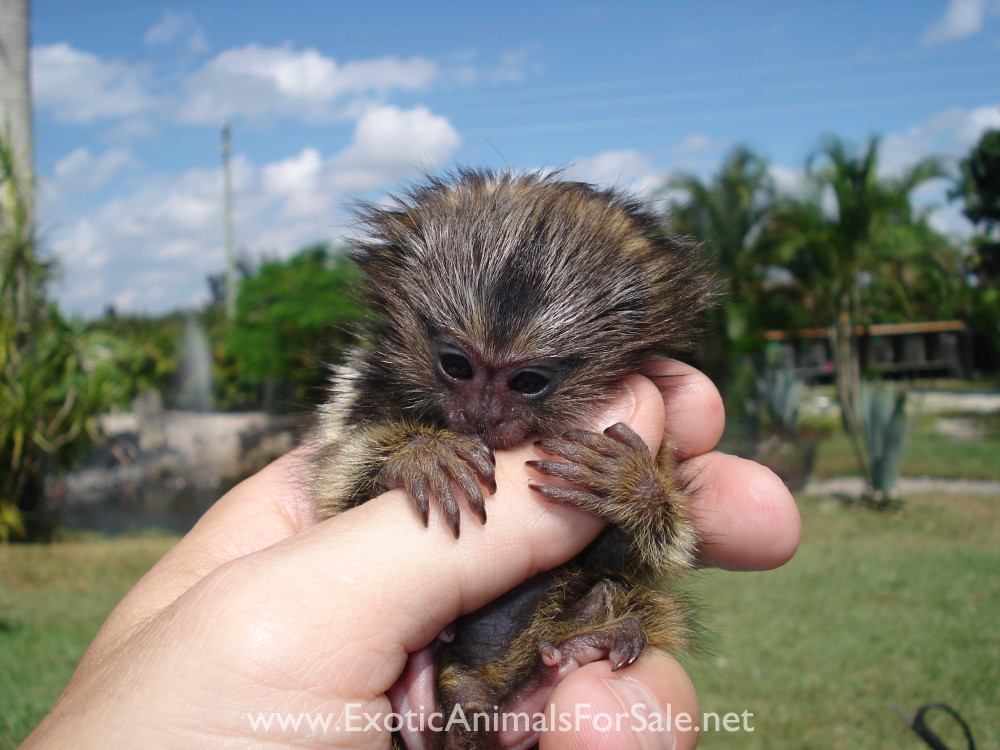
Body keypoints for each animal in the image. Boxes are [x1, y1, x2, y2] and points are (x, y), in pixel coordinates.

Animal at [307, 169, 716, 750]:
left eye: (528, 382)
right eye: (456, 366)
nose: (482, 415)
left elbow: (643, 559)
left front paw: (632, 488)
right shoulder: (362, 386)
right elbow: (340, 488)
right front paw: (423, 454)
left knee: (618, 594)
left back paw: (578, 650)